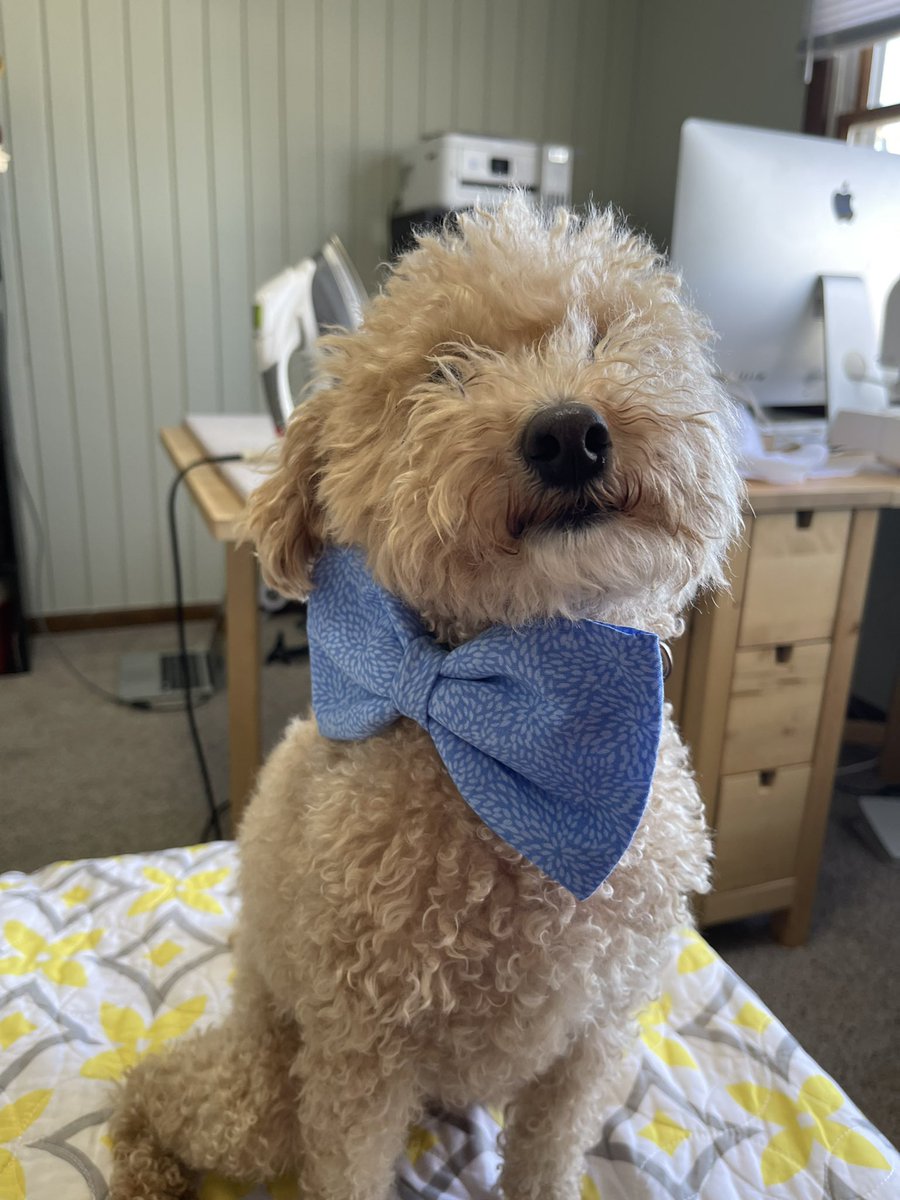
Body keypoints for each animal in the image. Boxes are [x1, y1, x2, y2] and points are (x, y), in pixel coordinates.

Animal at [111, 199, 748, 1200]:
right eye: (446, 370)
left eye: (606, 337)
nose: (569, 433)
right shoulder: (360, 1054)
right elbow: (350, 1172)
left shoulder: (593, 1038)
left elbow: (547, 1159)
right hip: (266, 1095)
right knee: (156, 1086)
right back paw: (143, 1163)